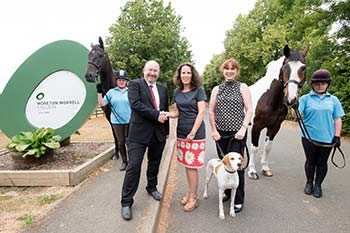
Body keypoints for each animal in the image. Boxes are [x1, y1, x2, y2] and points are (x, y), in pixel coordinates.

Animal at [247, 44, 308, 179]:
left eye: (303, 68)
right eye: (285, 67)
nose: (291, 100)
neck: (269, 98)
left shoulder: (275, 126)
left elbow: (267, 147)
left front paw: (265, 169)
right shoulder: (256, 126)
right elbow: (254, 148)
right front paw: (252, 171)